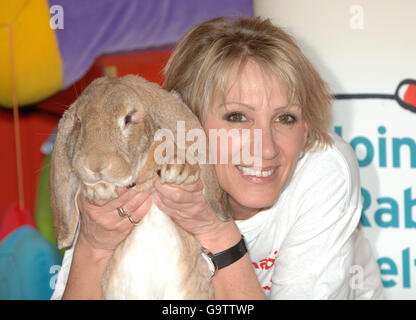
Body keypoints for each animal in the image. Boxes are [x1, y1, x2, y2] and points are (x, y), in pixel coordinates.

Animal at [49, 75, 231, 300]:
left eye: (128, 118)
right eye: (78, 121)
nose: (94, 164)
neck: (141, 183)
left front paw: (179, 171)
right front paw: (99, 189)